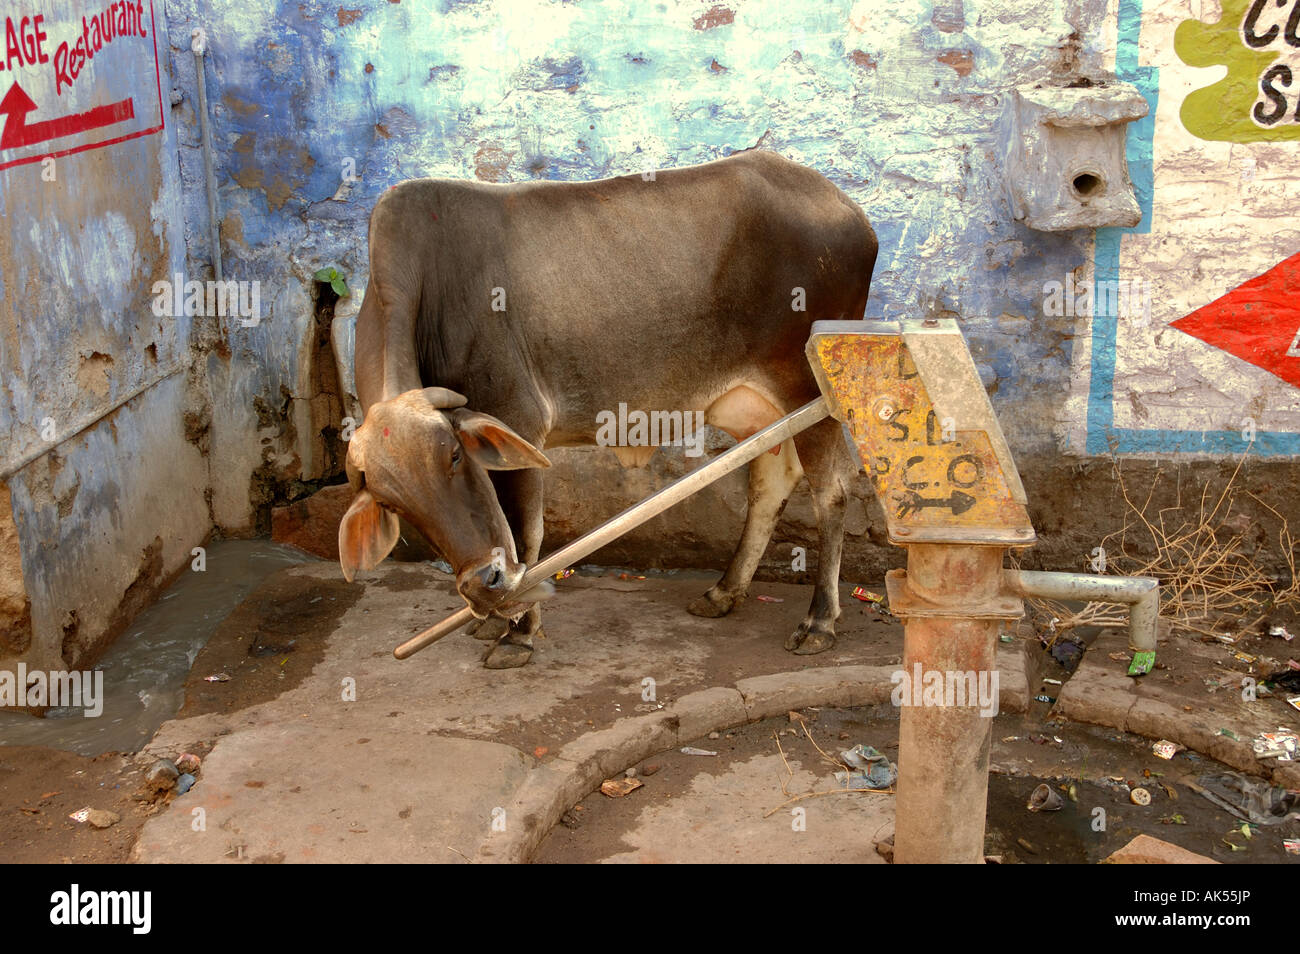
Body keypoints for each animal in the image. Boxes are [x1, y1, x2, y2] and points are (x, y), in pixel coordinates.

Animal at [339, 149, 878, 669]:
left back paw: (819, 621)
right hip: (757, 405)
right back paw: (724, 592)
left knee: (832, 491)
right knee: (771, 482)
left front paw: (519, 635)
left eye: (453, 456)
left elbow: (526, 535)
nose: (483, 585)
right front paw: (493, 621)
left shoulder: (520, 420)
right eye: (391, 504)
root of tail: (849, 209)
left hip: (810, 386)